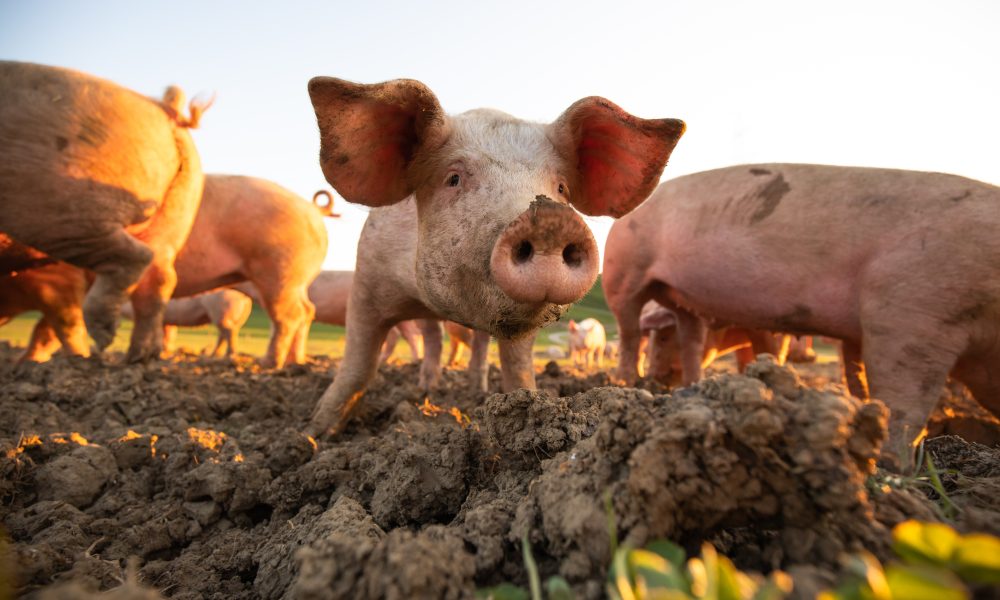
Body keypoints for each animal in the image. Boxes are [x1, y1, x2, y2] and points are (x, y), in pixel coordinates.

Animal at [0, 61, 209, 361]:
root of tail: (163, 108)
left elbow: (62, 320)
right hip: (179, 208)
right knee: (160, 276)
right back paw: (140, 356)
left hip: (58, 204)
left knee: (136, 257)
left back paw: (104, 340)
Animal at [120, 289, 252, 357]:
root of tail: (245, 297)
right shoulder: (169, 320)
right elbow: (170, 334)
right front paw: (168, 351)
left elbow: (162, 334)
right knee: (226, 333)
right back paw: (214, 355)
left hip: (220, 308)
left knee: (229, 332)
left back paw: (229, 355)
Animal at [171, 175, 327, 368]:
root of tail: (314, 211)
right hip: (297, 281)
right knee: (307, 310)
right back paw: (294, 362)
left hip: (280, 272)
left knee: (289, 316)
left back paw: (267, 363)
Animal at [304, 77, 685, 436]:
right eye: (453, 178)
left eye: (561, 187)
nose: (551, 219)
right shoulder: (367, 280)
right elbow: (357, 365)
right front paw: (316, 433)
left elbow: (517, 365)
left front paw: (531, 408)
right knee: (433, 340)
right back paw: (424, 391)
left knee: (474, 346)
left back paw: (474, 391)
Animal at [603, 163, 1000, 461]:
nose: (660, 375)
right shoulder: (910, 307)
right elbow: (903, 398)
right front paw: (889, 463)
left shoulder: (866, 328)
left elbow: (855, 374)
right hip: (622, 271)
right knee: (629, 331)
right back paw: (626, 383)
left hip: (681, 300)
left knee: (689, 338)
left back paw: (689, 385)